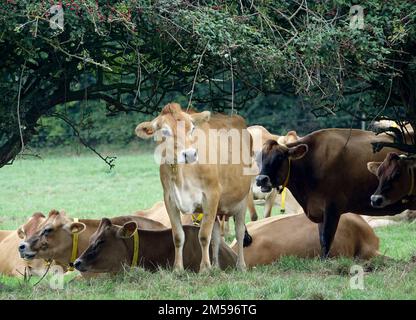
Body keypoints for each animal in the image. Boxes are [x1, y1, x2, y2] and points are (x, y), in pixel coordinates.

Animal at [136, 104, 254, 272]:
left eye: (192, 128)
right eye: (164, 131)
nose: (190, 154)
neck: (181, 175)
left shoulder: (212, 195)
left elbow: (204, 235)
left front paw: (204, 268)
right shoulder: (169, 199)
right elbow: (178, 236)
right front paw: (178, 268)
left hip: (242, 199)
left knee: (239, 232)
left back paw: (241, 266)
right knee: (216, 236)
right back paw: (216, 266)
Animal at [255, 127, 412, 258]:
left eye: (280, 157)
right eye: (258, 159)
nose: (261, 179)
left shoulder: (333, 207)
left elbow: (327, 239)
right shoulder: (319, 210)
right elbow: (321, 239)